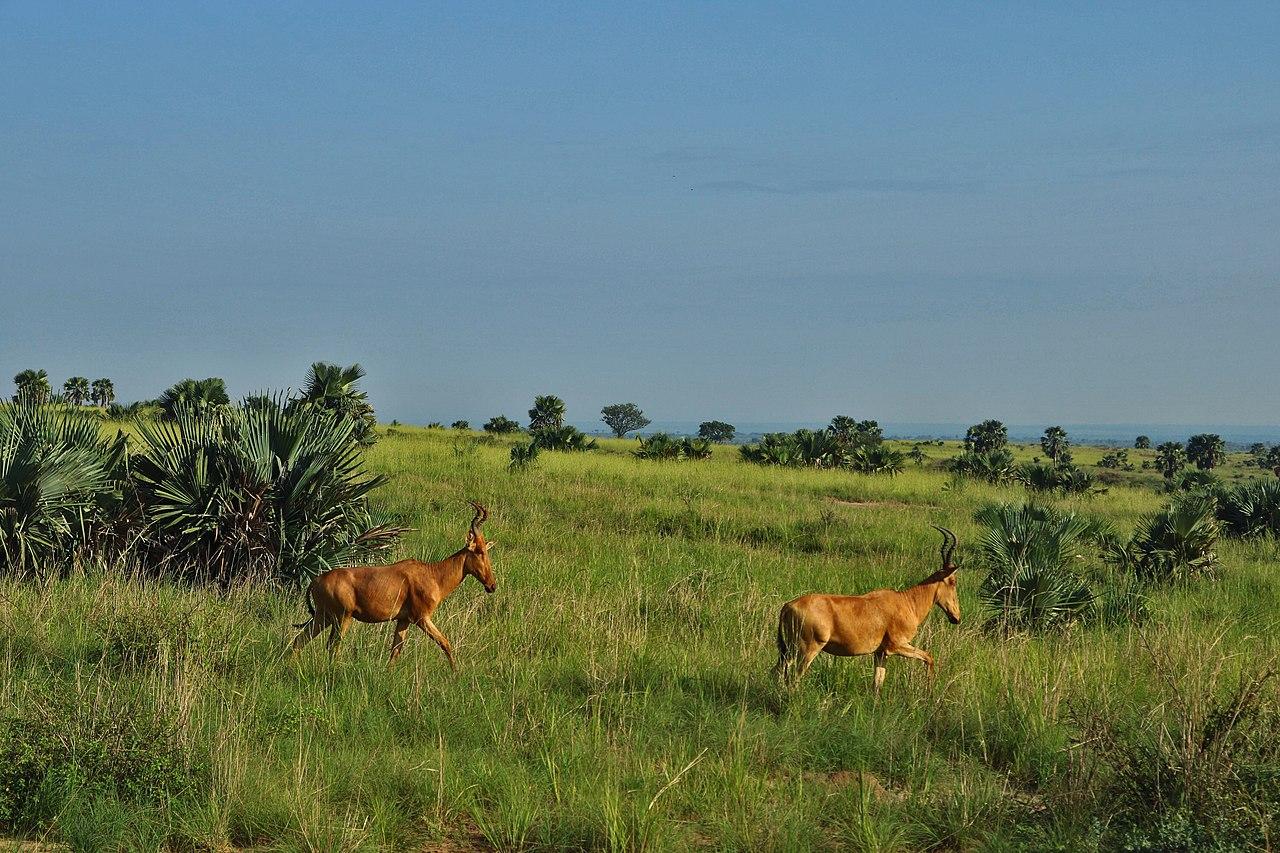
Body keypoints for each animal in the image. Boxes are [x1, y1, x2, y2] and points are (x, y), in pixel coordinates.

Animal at [290, 499, 494, 666]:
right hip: (342, 618)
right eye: (479, 551)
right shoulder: (422, 618)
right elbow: (445, 643)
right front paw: (455, 674)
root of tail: (315, 581)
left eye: (486, 549)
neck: (432, 574)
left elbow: (395, 652)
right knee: (332, 647)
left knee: (299, 641)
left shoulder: (404, 620)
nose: (492, 586)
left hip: (323, 617)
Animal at [768, 525, 962, 691]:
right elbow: (929, 657)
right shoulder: (897, 646)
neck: (906, 601)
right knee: (794, 678)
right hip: (807, 649)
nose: (956, 618)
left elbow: (877, 684)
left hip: (789, 650)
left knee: (776, 671)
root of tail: (788, 606)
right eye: (953, 581)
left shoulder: (880, 653)